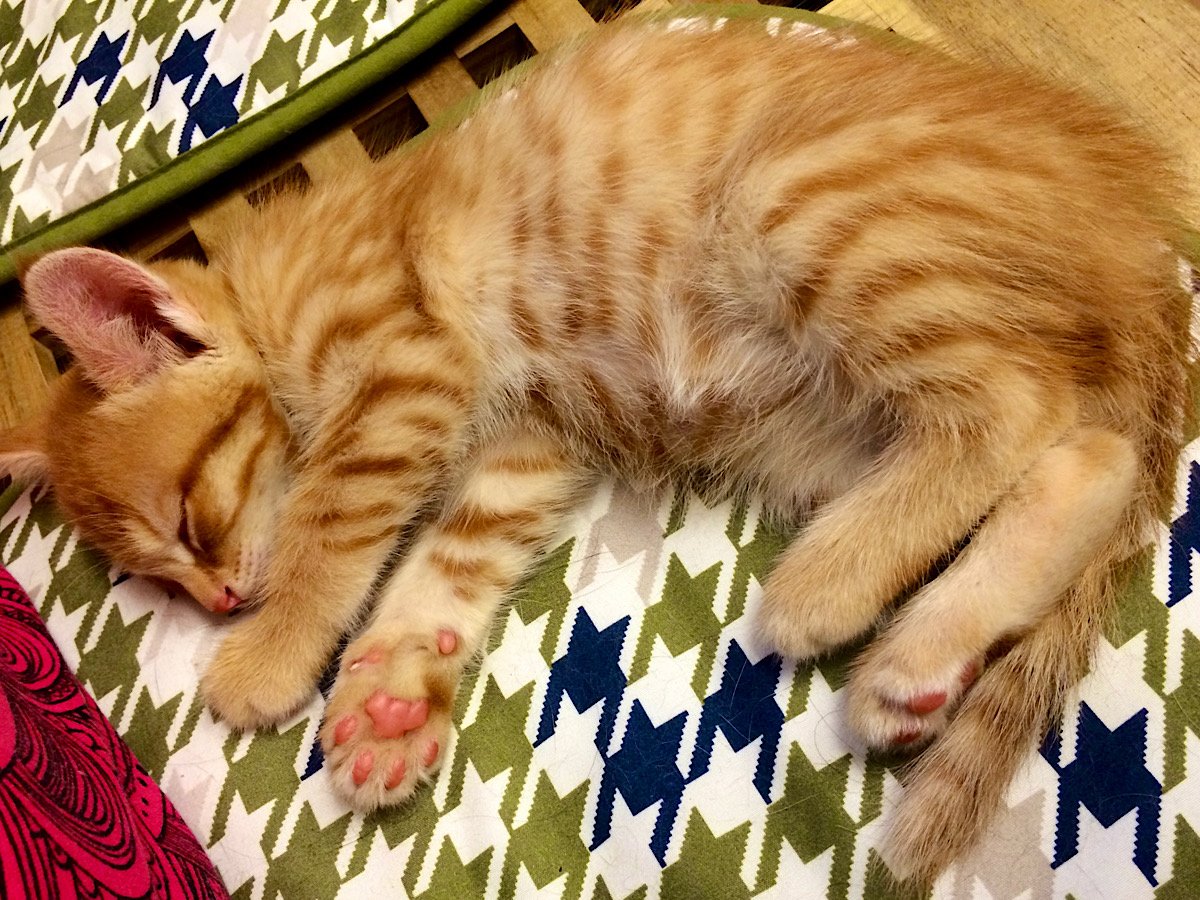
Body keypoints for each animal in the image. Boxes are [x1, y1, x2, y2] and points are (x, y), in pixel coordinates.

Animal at [0, 16, 1191, 885]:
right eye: (160, 577)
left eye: (189, 523)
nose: (218, 604)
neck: (270, 293)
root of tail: (1132, 230)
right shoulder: (524, 445)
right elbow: (450, 555)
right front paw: (392, 693)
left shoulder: (398, 368)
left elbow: (330, 525)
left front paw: (271, 653)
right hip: (826, 420)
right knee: (1089, 459)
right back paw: (920, 661)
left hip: (803, 205)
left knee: (1016, 403)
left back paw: (830, 588)